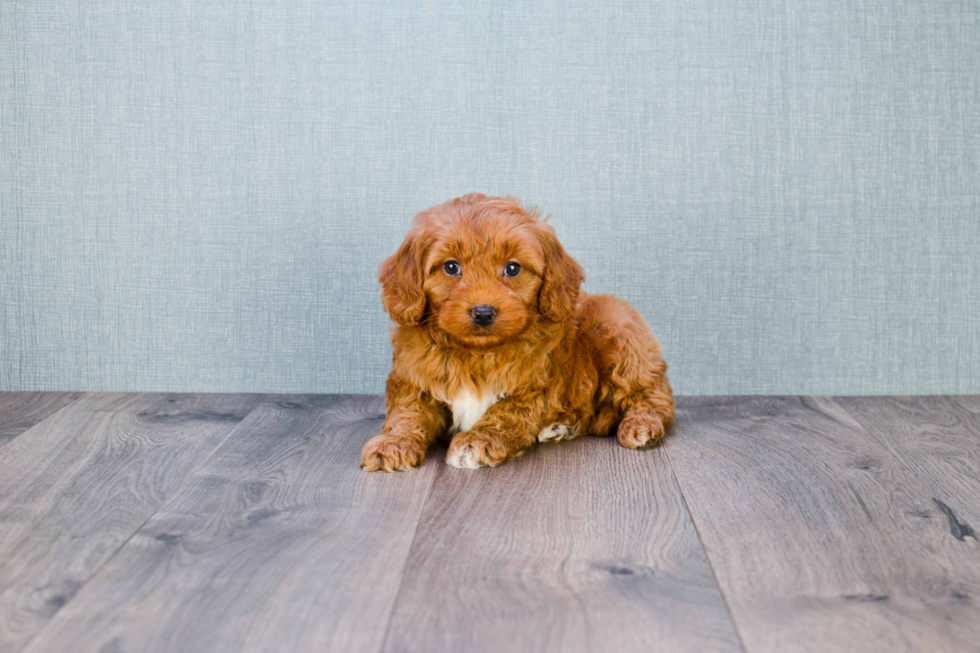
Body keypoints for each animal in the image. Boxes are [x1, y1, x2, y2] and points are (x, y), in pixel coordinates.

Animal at [360, 191, 672, 472]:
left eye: (512, 268)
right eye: (450, 267)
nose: (483, 312)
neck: (476, 354)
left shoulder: (535, 388)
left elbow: (505, 412)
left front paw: (477, 441)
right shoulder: (413, 380)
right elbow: (407, 412)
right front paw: (392, 443)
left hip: (616, 331)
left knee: (655, 395)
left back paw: (641, 425)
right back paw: (562, 427)